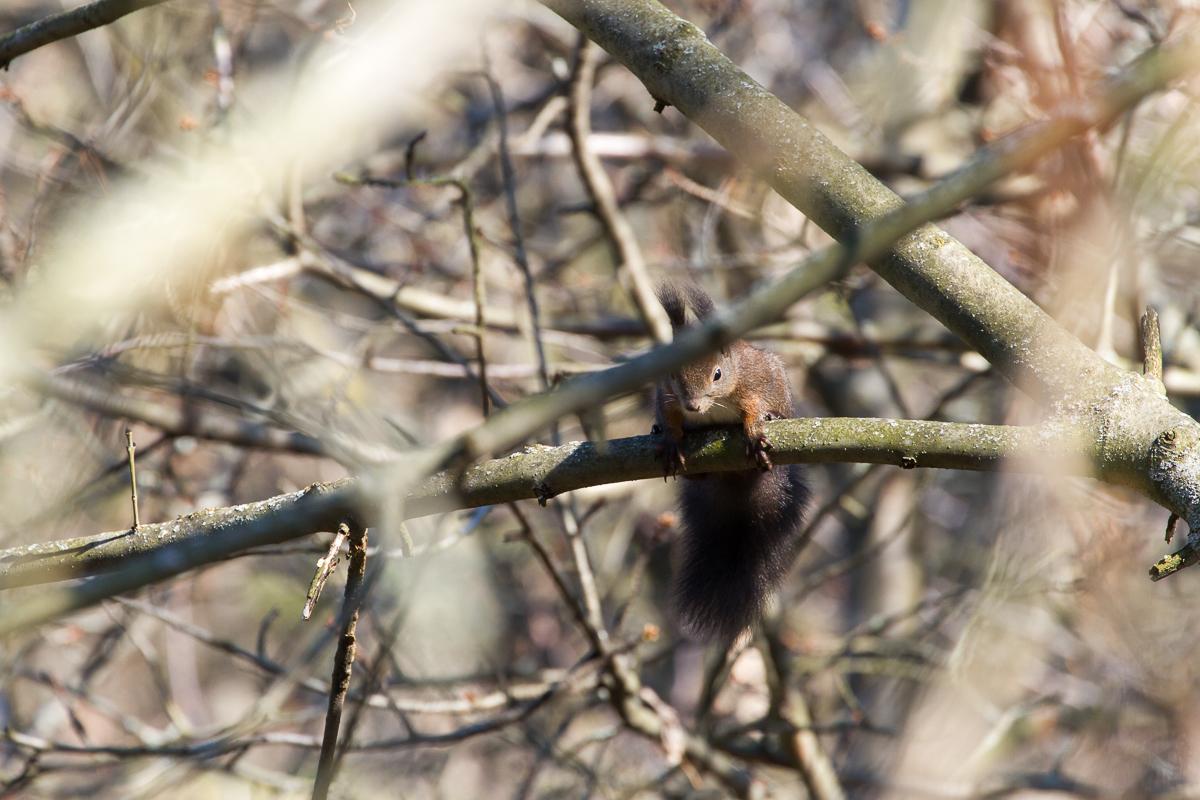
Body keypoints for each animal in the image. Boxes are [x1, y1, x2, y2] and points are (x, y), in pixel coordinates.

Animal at [652, 284, 811, 642]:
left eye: (717, 374)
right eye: (673, 374)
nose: (693, 406)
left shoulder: (751, 385)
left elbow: (754, 409)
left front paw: (756, 430)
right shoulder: (666, 397)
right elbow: (669, 418)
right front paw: (669, 439)